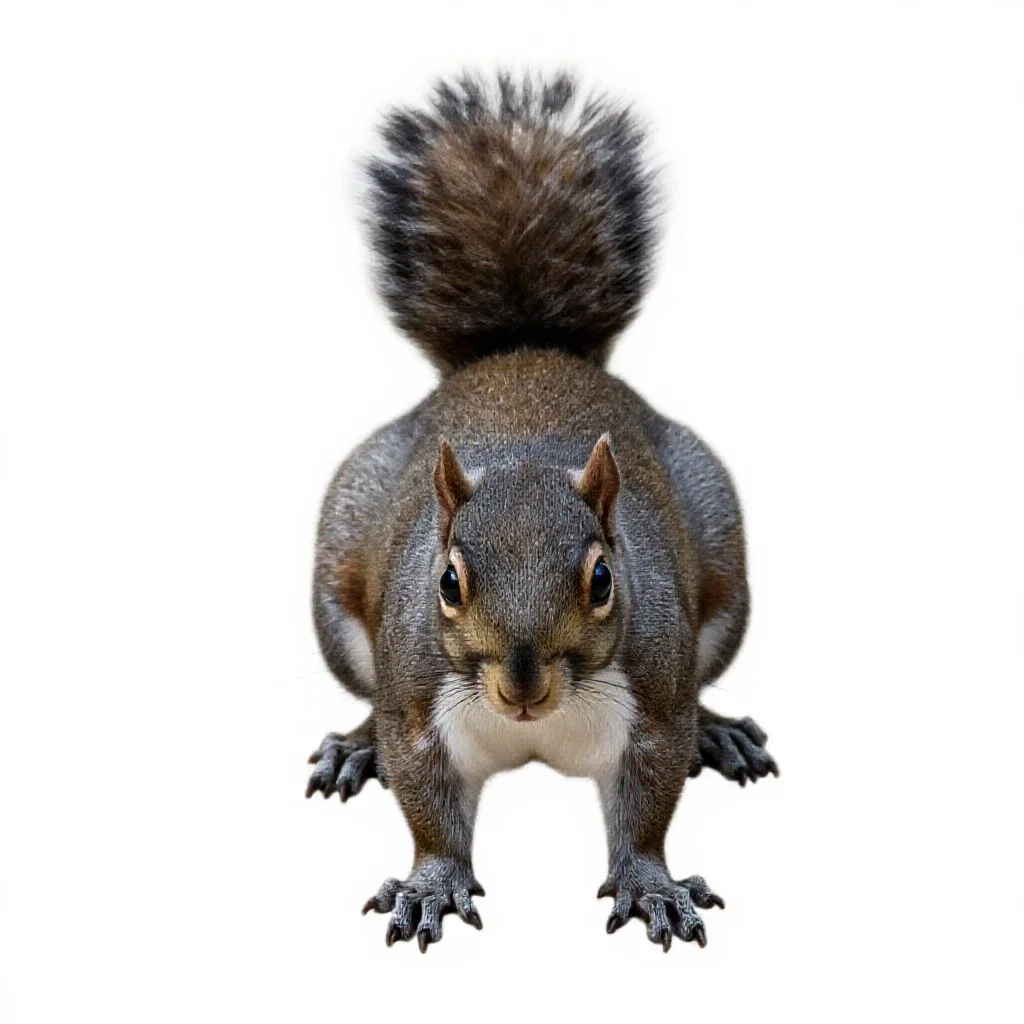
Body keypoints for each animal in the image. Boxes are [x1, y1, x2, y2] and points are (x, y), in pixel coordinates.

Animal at [305, 72, 778, 953]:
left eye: (602, 578)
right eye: (448, 582)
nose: (522, 683)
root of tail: (523, 351)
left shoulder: (653, 702)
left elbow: (650, 802)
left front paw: (651, 884)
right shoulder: (417, 706)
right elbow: (425, 802)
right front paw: (431, 884)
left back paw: (719, 729)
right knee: (366, 703)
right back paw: (355, 748)